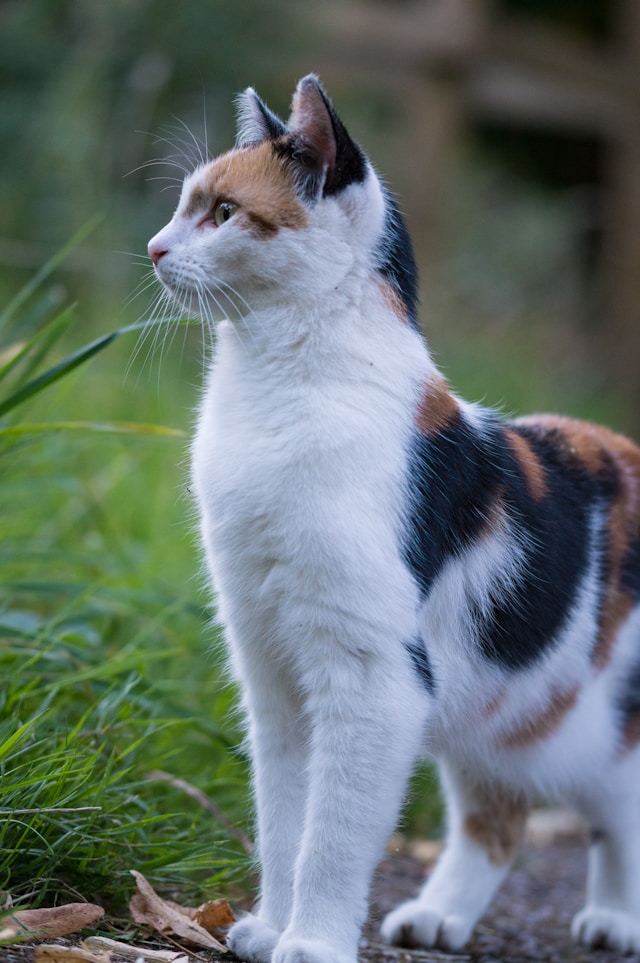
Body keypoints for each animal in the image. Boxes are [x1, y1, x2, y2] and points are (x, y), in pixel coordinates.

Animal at [148, 77, 640, 963]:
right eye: (182, 205)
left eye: (224, 211)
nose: (154, 248)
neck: (279, 386)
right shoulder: (271, 668)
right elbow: (284, 818)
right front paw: (271, 926)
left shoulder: (372, 675)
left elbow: (334, 832)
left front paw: (311, 940)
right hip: (500, 711)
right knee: (498, 816)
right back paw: (438, 917)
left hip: (592, 722)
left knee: (618, 807)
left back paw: (617, 917)